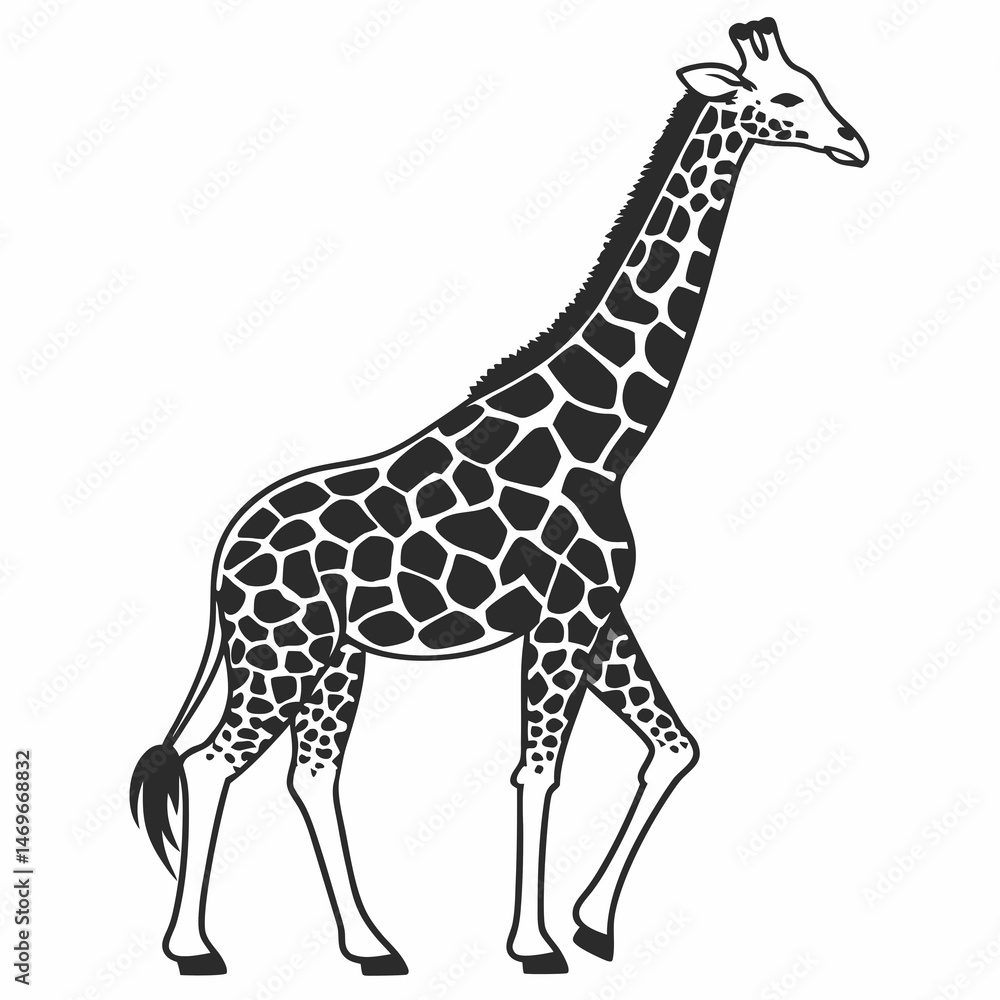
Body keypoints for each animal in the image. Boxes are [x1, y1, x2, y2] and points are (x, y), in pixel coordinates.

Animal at [131, 18, 867, 977]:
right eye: (785, 98)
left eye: (816, 84)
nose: (854, 143)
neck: (608, 440)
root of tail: (223, 553)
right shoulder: (562, 620)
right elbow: (539, 770)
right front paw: (535, 943)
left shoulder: (598, 613)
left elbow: (674, 746)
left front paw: (592, 924)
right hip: (279, 650)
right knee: (215, 764)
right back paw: (194, 948)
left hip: (336, 658)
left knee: (312, 772)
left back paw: (371, 946)